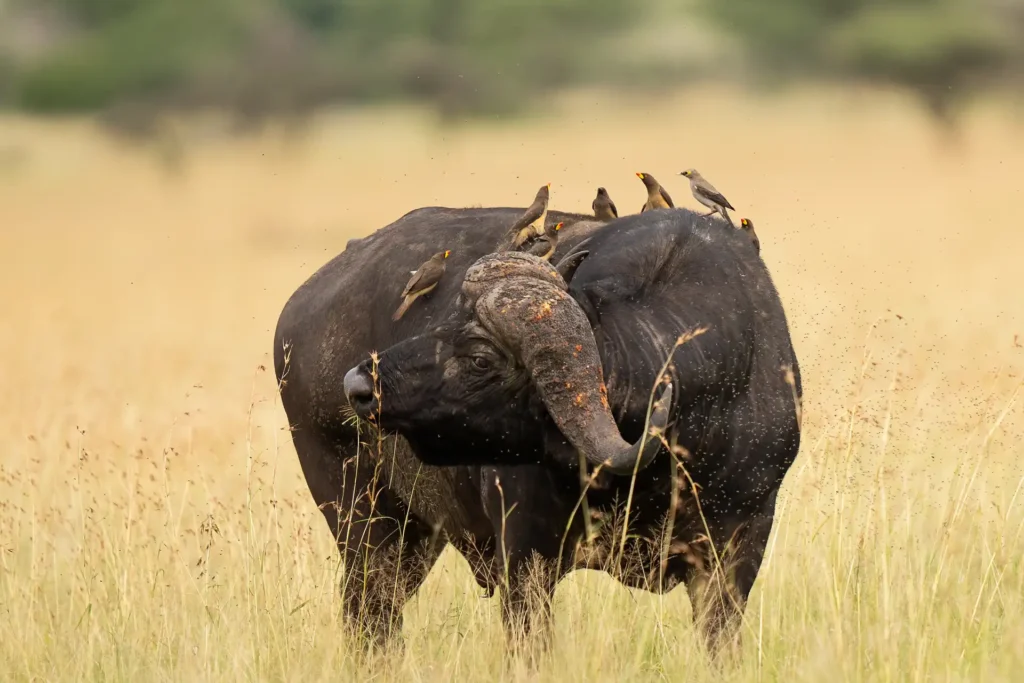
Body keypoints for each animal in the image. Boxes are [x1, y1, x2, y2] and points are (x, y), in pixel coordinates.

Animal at [276, 205, 802, 655]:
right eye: (447, 318)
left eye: (480, 358)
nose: (359, 384)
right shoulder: (525, 557)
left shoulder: (736, 555)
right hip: (362, 523)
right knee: (369, 618)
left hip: (413, 539)